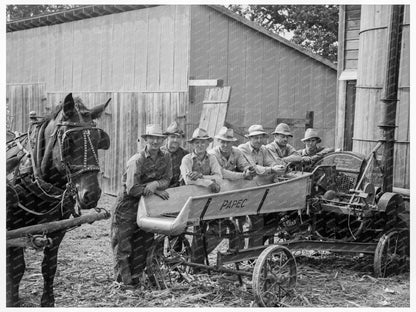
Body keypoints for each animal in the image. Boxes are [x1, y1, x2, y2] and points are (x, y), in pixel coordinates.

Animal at [6, 93, 110, 308]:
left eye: (98, 140)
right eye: (68, 140)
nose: (91, 194)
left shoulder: (57, 229)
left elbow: (49, 267)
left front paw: (47, 301)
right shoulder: (13, 229)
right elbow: (16, 271)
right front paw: (13, 300)